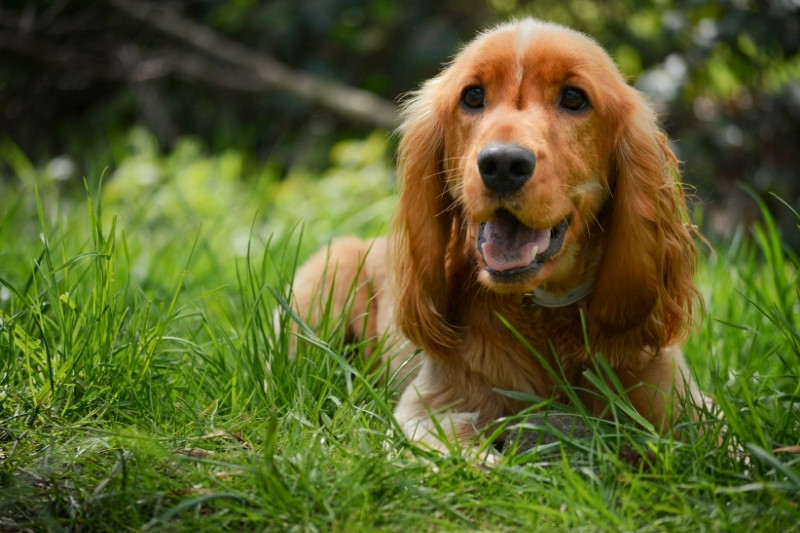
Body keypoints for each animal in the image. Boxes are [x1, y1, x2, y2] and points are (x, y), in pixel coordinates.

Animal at [284, 18, 704, 456]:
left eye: (574, 98)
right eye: (472, 96)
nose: (502, 164)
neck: (543, 312)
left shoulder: (681, 401)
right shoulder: (428, 408)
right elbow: (463, 446)